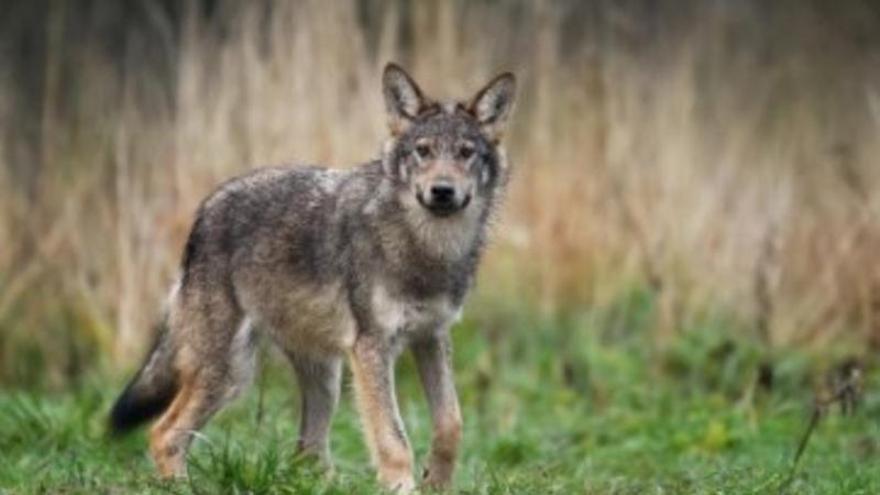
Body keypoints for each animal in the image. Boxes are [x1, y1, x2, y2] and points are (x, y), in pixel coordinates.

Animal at [109, 63, 516, 492]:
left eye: (466, 153)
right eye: (423, 151)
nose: (442, 191)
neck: (426, 249)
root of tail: (205, 210)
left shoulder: (432, 337)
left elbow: (451, 424)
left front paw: (436, 481)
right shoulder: (372, 348)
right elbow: (393, 439)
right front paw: (404, 485)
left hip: (325, 378)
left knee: (307, 453)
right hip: (230, 373)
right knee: (165, 433)